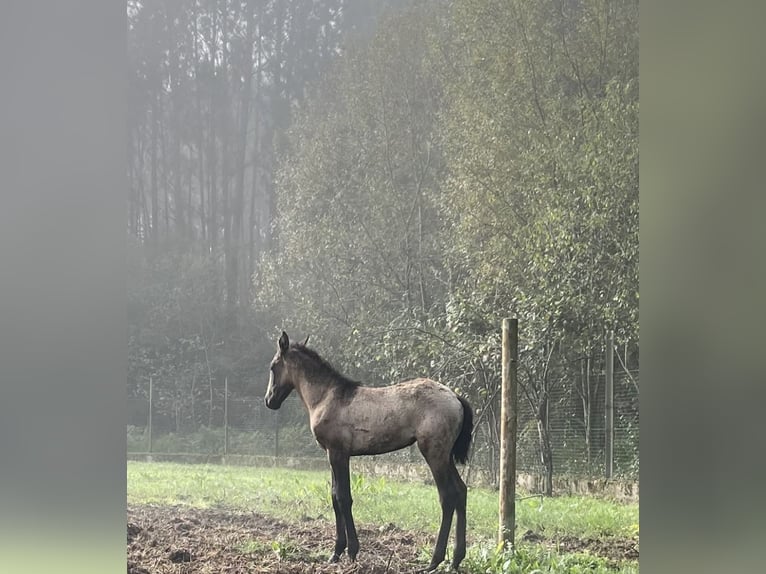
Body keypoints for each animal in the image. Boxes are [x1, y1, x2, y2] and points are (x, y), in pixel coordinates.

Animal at [266, 332, 474, 572]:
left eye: (273, 366)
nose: (269, 401)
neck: (327, 397)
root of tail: (456, 398)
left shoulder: (338, 453)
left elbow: (343, 497)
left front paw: (351, 552)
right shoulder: (331, 455)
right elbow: (334, 496)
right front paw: (336, 553)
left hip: (434, 453)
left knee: (448, 496)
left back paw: (433, 562)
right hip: (446, 456)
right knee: (461, 491)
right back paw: (456, 559)